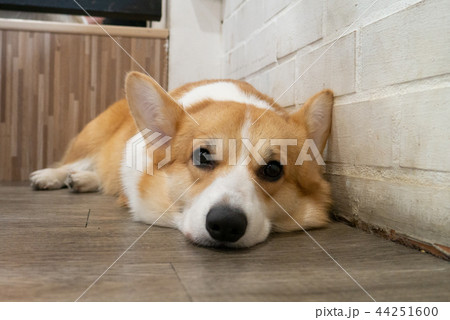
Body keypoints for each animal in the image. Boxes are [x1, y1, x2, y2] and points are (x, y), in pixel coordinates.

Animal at [30, 72, 334, 248]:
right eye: (202, 156)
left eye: (272, 169)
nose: (226, 224)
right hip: (90, 139)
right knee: (73, 163)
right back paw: (51, 176)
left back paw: (83, 181)